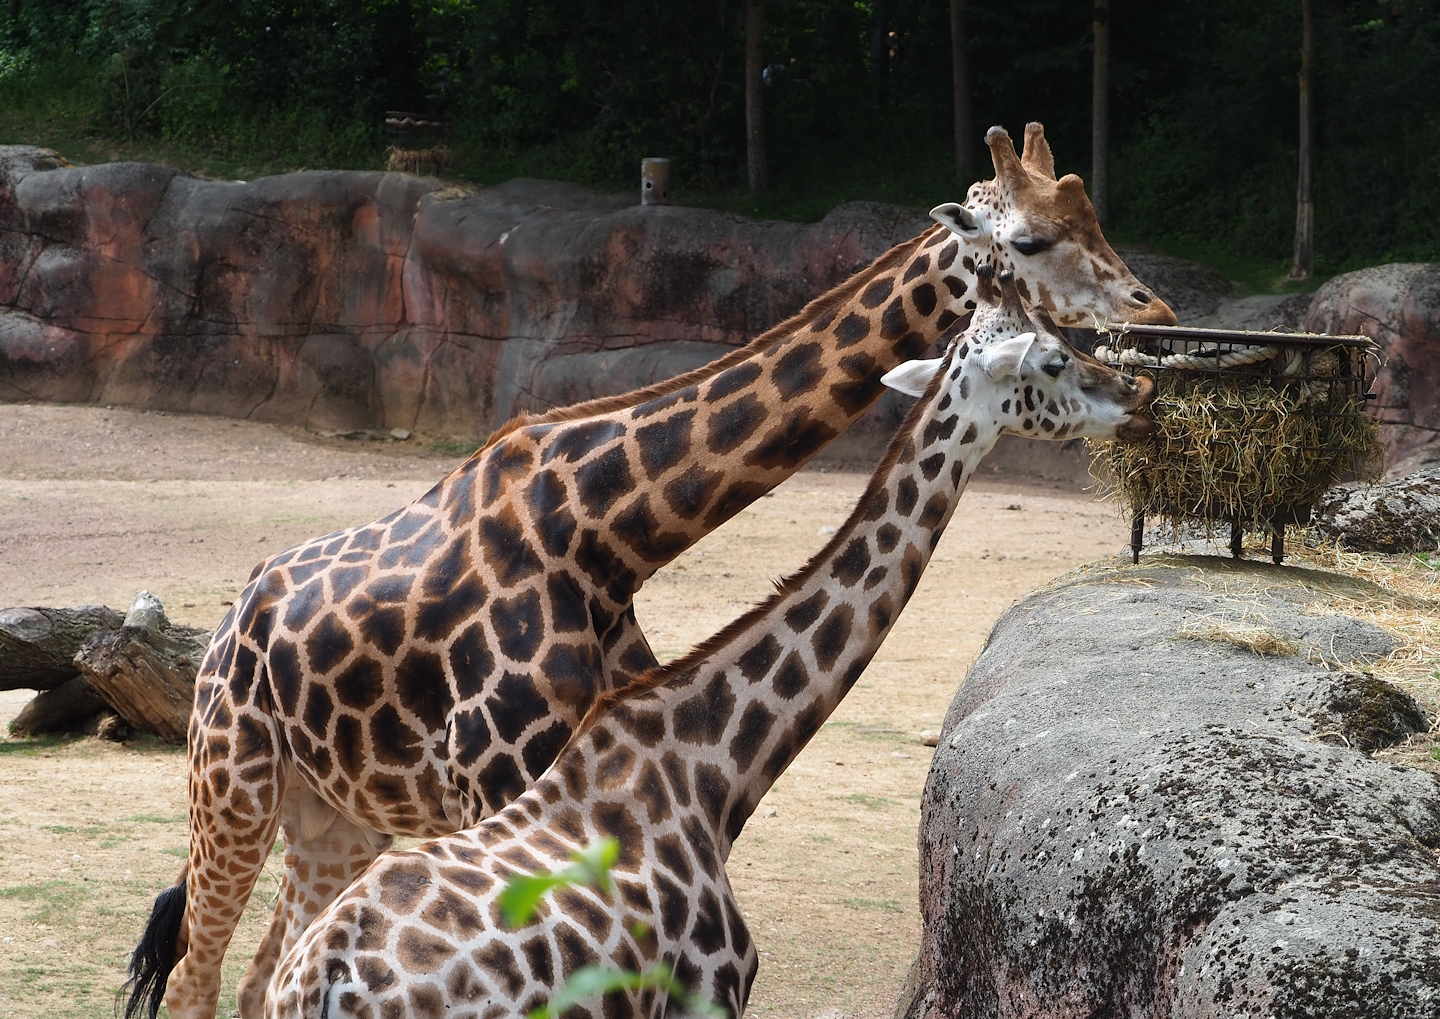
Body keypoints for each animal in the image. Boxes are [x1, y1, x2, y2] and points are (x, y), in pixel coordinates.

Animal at [121, 123, 1176, 1019]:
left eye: (1096, 220)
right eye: (1034, 239)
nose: (1151, 337)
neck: (606, 529)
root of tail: (225, 624)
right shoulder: (508, 784)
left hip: (336, 817)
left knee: (256, 974)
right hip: (230, 785)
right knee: (196, 977)